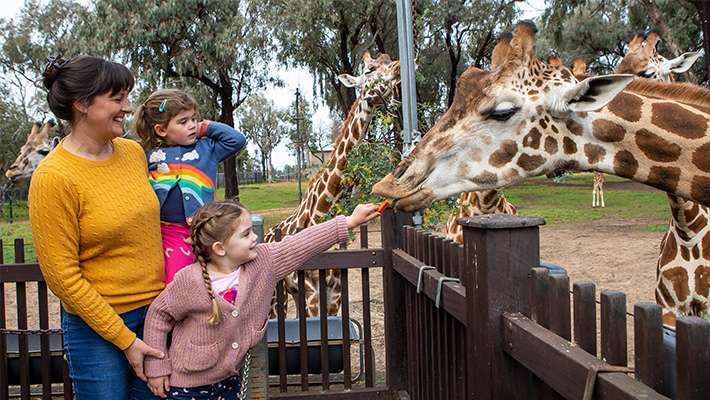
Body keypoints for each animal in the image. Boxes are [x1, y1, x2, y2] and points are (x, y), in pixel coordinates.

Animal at [266, 51, 404, 318]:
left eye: (390, 62)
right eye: (369, 70)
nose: (399, 69)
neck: (320, 213)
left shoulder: (334, 297)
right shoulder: (311, 296)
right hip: (276, 301)